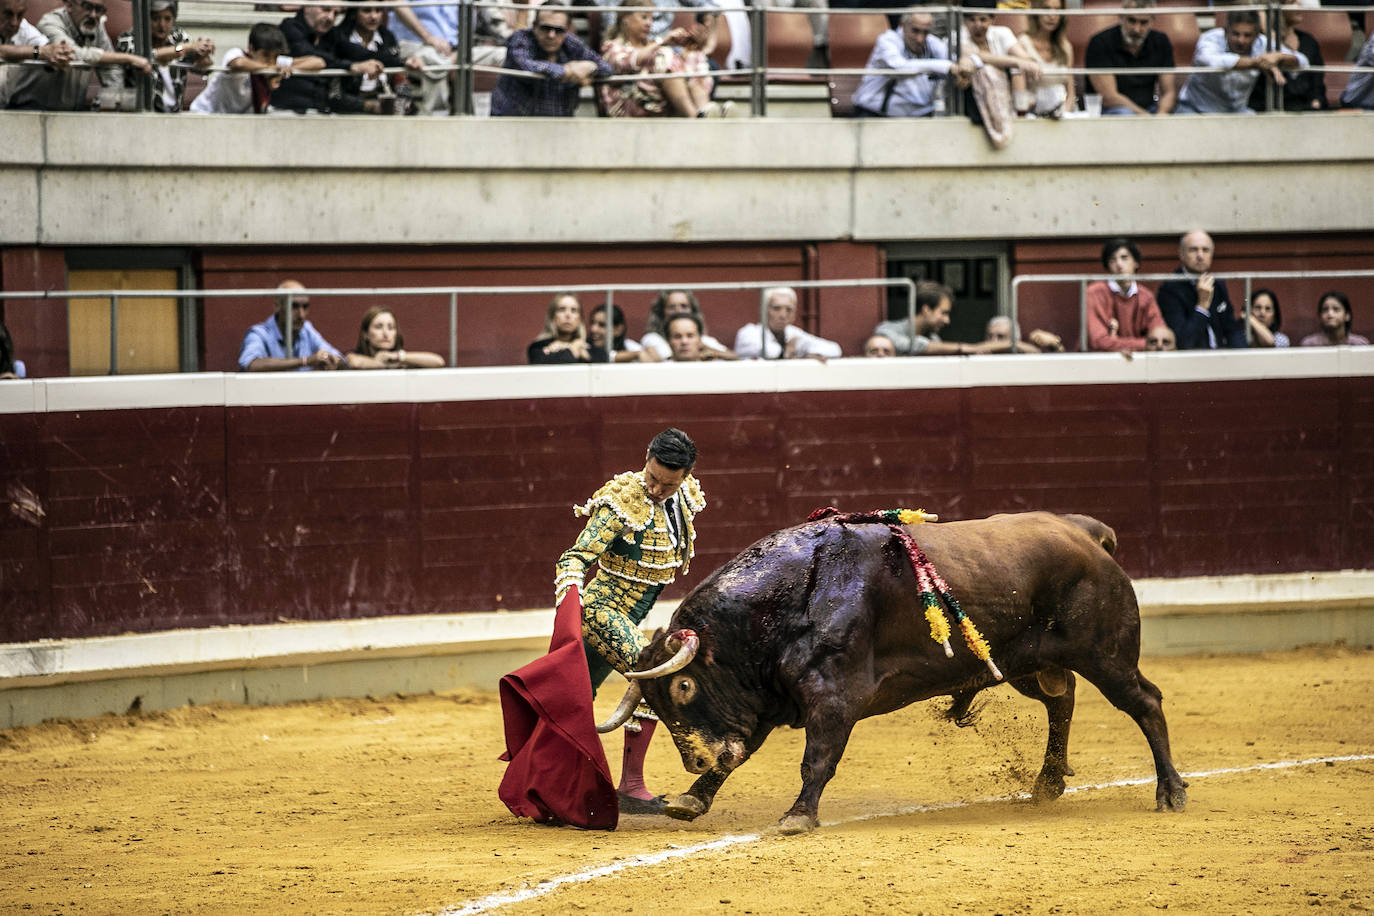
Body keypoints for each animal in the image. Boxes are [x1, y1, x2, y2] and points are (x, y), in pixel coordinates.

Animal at [596, 513, 1187, 834]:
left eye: (684, 685)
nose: (694, 756)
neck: (794, 594)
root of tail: (1083, 532)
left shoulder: (833, 697)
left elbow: (817, 759)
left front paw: (797, 817)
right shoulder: (765, 702)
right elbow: (739, 757)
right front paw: (691, 797)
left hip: (1106, 655)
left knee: (1146, 703)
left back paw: (1171, 793)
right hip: (1028, 663)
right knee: (1062, 701)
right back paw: (1047, 783)